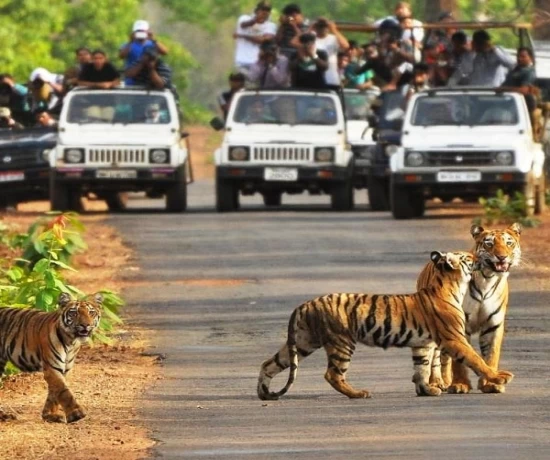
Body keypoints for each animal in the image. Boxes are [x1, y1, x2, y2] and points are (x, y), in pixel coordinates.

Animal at [0, 292, 103, 422]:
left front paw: (50, 415)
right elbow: (63, 391)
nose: (85, 325)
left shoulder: (64, 369)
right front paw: (76, 413)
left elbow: (54, 392)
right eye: (74, 313)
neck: (71, 341)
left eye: (91, 312)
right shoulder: (52, 368)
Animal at [256, 250, 516, 400]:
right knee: (332, 374)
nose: (481, 259)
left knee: (269, 363)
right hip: (341, 342)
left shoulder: (423, 344)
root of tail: (305, 304)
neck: (452, 285)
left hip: (303, 341)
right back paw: (358, 394)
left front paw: (426, 390)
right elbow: (476, 360)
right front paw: (499, 377)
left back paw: (264, 393)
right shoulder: (454, 339)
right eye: (468, 258)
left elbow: (421, 368)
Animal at [416, 224, 524, 396]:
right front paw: (460, 385)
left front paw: (491, 384)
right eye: (489, 244)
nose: (502, 257)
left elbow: (491, 355)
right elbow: (460, 361)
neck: (488, 279)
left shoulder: (493, 324)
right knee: (435, 357)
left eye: (509, 243)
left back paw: (445, 381)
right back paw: (436, 382)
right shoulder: (460, 325)